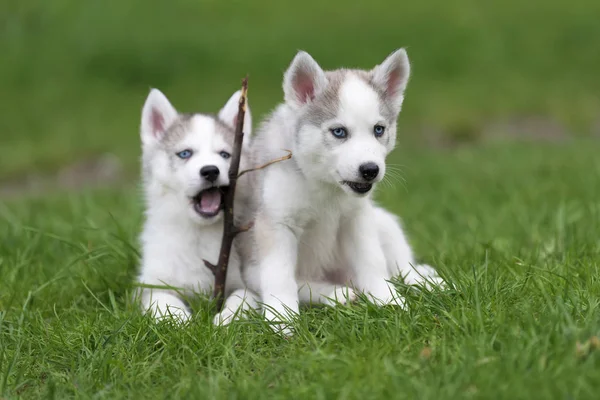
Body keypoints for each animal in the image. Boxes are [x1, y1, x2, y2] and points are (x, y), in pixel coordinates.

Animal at [136, 87, 258, 324]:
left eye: (225, 154)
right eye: (185, 153)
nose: (210, 171)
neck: (199, 233)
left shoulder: (245, 283)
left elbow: (242, 297)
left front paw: (226, 318)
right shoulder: (151, 286)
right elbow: (163, 301)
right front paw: (181, 322)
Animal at [244, 49, 446, 332]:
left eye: (378, 129)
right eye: (339, 132)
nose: (370, 169)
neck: (324, 186)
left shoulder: (357, 218)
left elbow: (372, 261)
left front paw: (388, 301)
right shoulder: (275, 225)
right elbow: (280, 276)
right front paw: (281, 318)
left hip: (384, 222)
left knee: (400, 267)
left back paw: (422, 280)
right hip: (250, 268)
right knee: (300, 283)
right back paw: (337, 293)